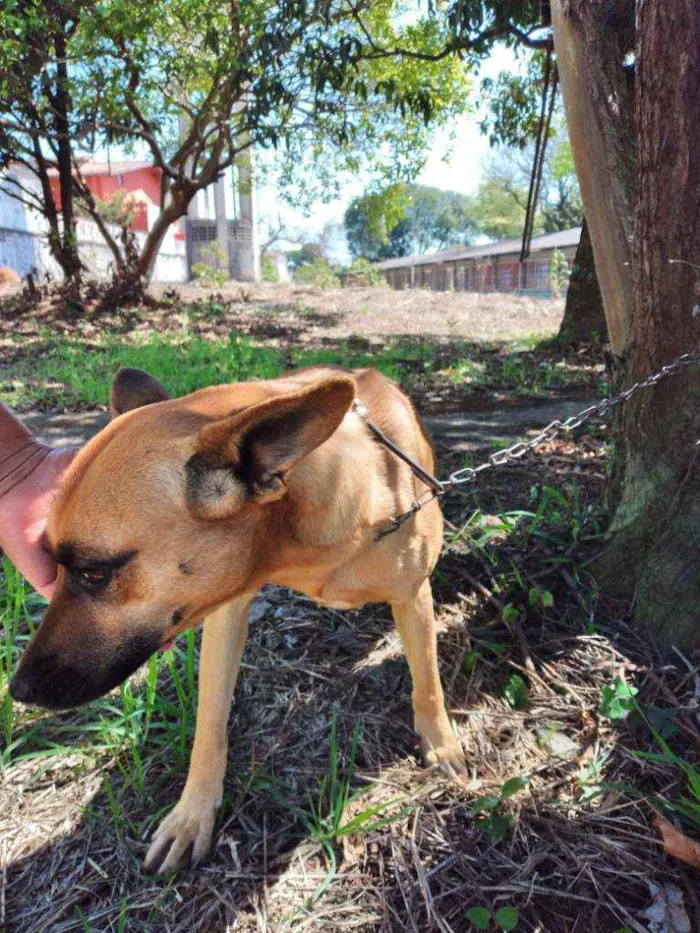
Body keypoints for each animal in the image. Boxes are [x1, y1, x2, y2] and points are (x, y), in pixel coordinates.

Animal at [9, 366, 464, 872]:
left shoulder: (413, 597)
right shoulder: (225, 616)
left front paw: (441, 744)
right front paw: (193, 814)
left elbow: (428, 684)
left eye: (94, 572)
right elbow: (209, 723)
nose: (18, 691)